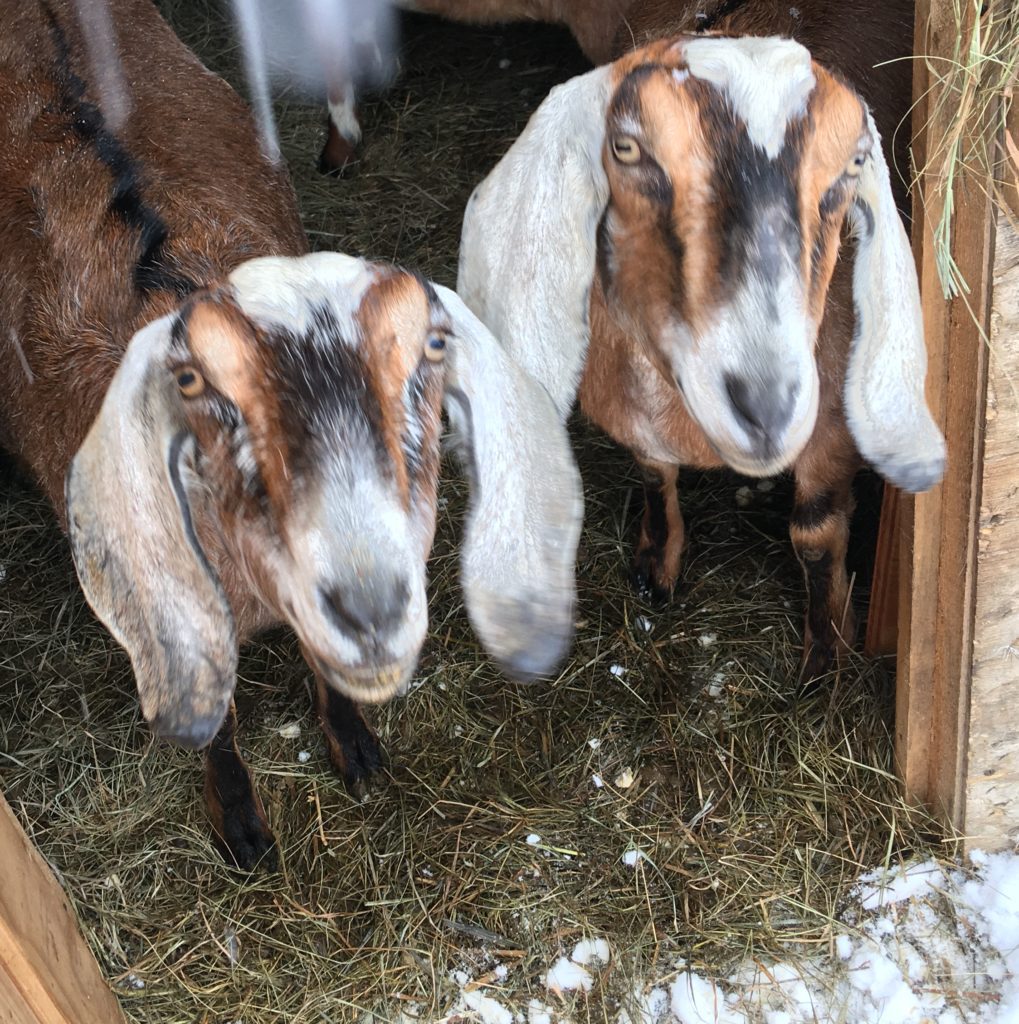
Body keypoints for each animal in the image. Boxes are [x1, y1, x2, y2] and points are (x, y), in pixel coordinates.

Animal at [456, 8, 946, 684]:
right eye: (626, 147)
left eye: (855, 163)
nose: (765, 403)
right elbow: (653, 470)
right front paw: (654, 563)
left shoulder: (832, 424)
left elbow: (815, 532)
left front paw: (827, 652)